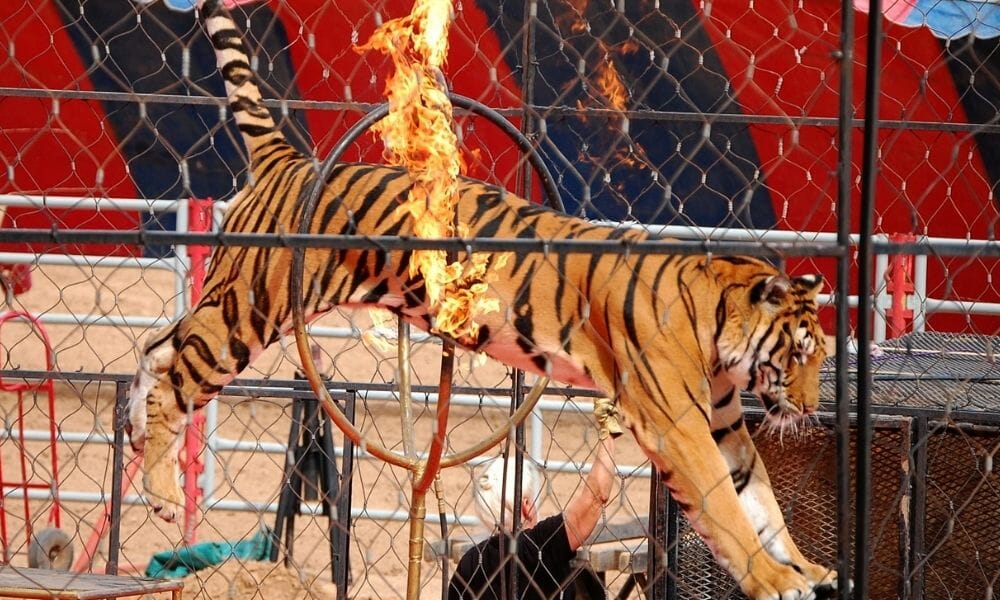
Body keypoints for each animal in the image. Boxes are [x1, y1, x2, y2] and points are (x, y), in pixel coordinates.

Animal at [127, 1, 840, 598]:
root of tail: (289, 160)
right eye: (799, 352)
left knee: (155, 347)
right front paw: (774, 580)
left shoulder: (723, 422)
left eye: (817, 355)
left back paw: (134, 433)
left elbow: (762, 503)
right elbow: (727, 510)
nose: (810, 409)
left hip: (229, 299)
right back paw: (160, 490)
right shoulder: (680, 423)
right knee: (178, 376)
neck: (721, 332)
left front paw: (806, 568)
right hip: (250, 309)